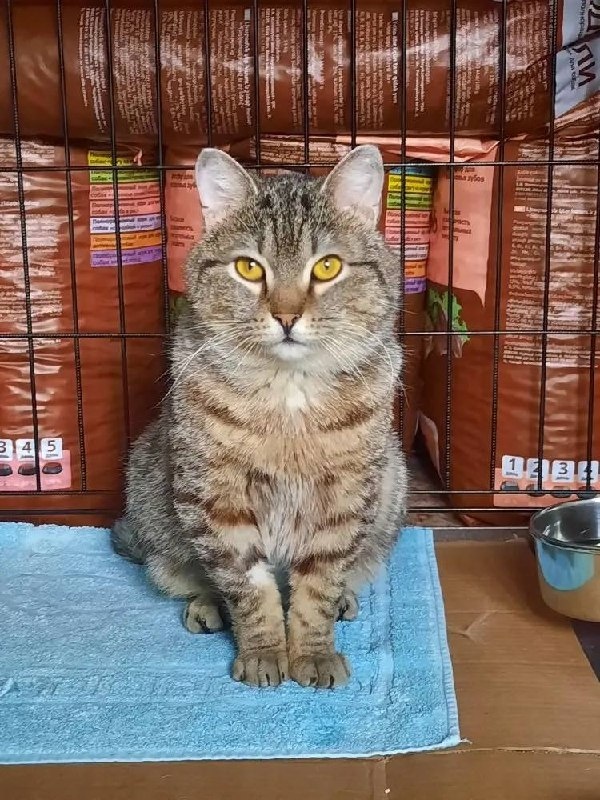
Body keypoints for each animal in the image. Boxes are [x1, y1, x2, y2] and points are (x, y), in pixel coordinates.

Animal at [112, 145, 407, 688]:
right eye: (249, 268)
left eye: (328, 266)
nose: (286, 316)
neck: (288, 393)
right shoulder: (216, 496)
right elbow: (248, 587)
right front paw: (264, 651)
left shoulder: (346, 496)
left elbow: (318, 586)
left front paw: (312, 652)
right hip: (151, 508)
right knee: (187, 574)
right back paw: (206, 604)